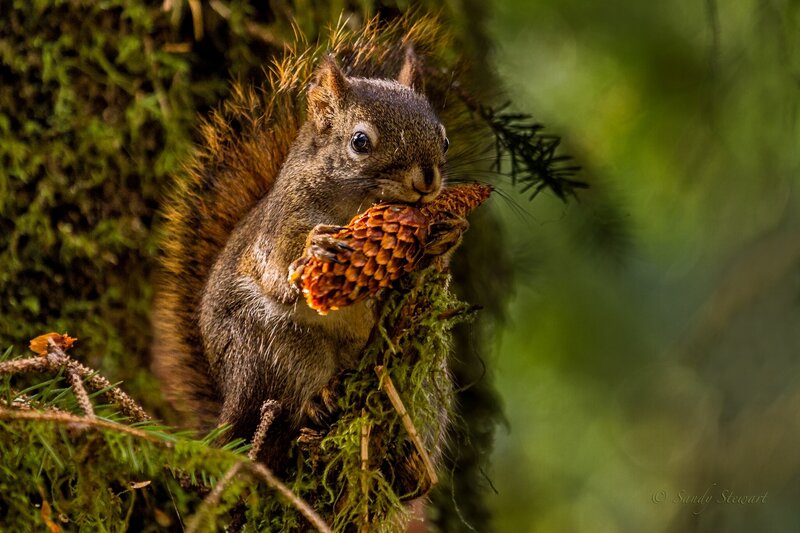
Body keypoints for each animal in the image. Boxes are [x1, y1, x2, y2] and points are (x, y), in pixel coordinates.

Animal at [152, 46, 460, 471]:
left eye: (444, 140)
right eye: (360, 142)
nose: (426, 180)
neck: (355, 207)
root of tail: (226, 407)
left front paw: (448, 234)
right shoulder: (278, 224)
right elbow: (278, 263)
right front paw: (315, 247)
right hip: (273, 349)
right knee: (287, 404)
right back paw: (317, 400)